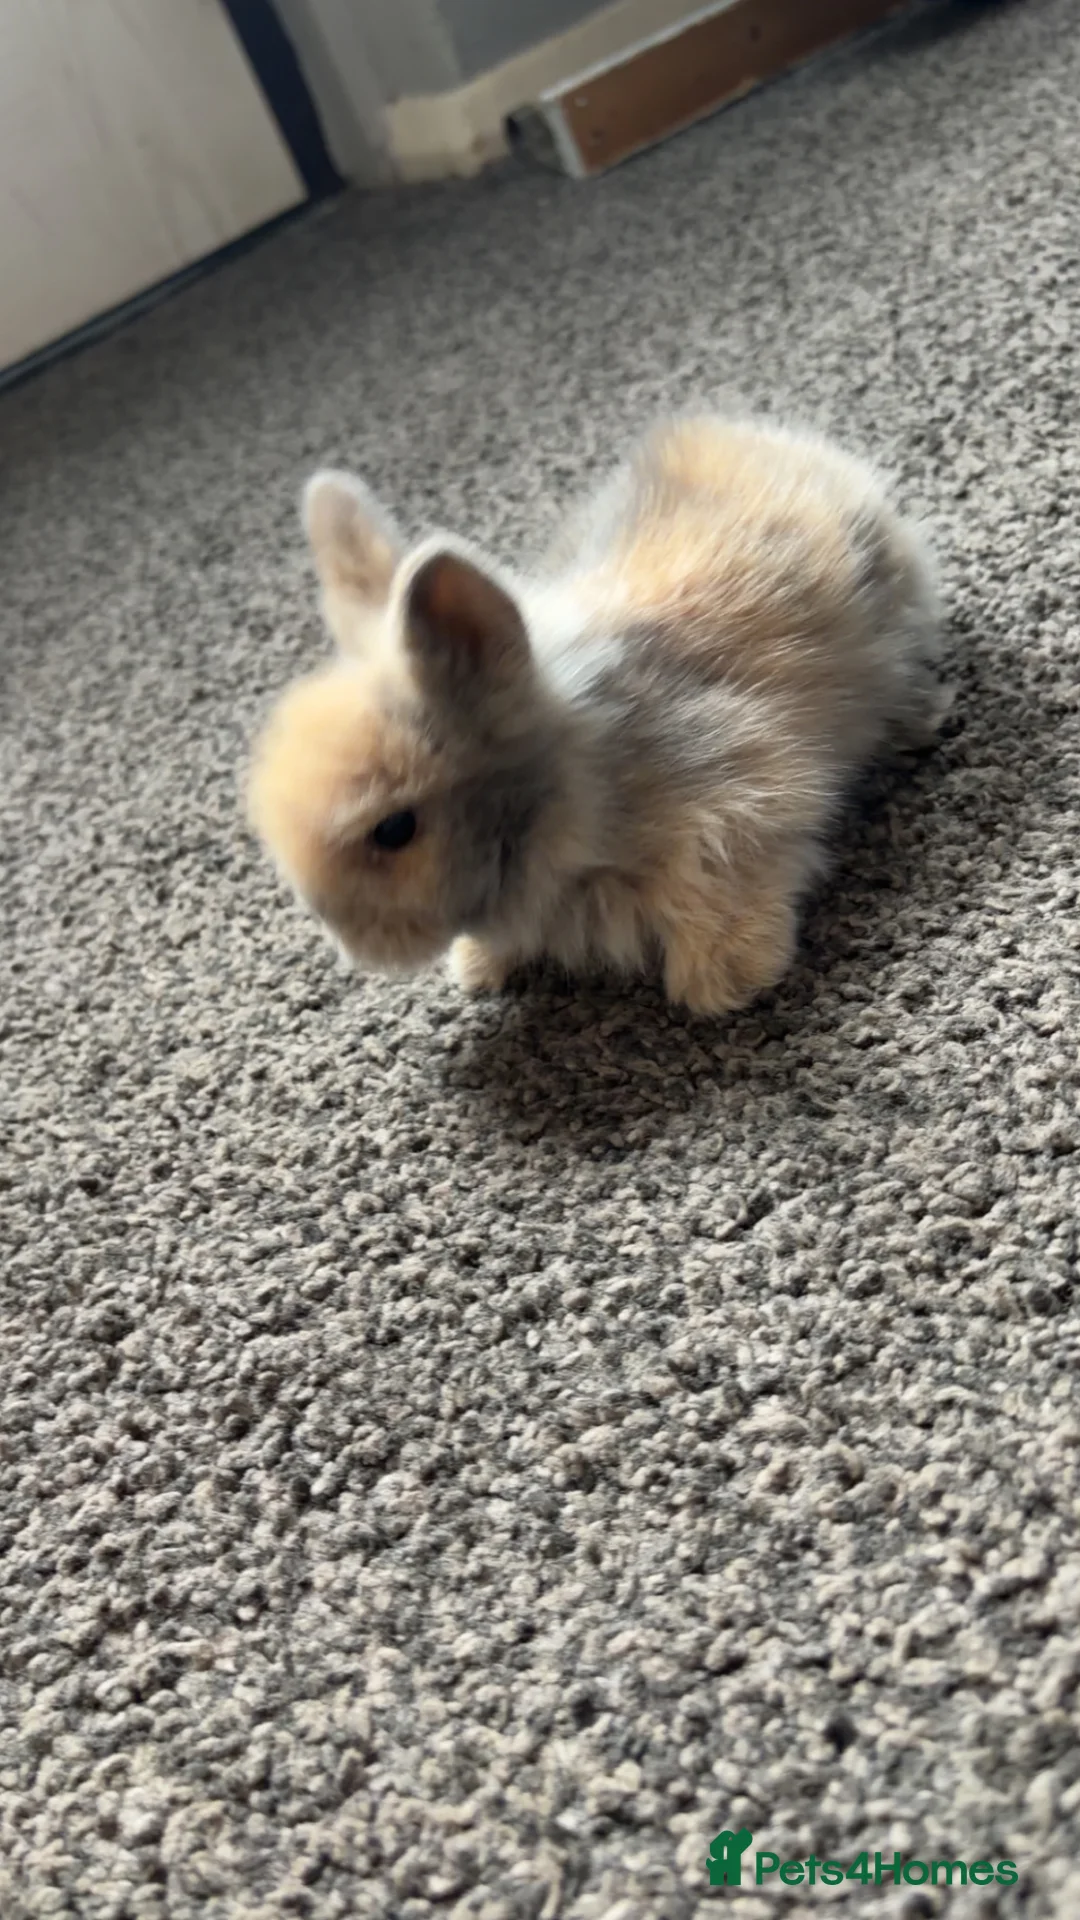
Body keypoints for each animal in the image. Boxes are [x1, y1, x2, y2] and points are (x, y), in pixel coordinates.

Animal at [247, 414, 947, 1015]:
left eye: (394, 829)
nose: (351, 945)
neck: (577, 792)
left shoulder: (741, 799)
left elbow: (722, 882)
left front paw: (726, 980)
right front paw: (477, 967)